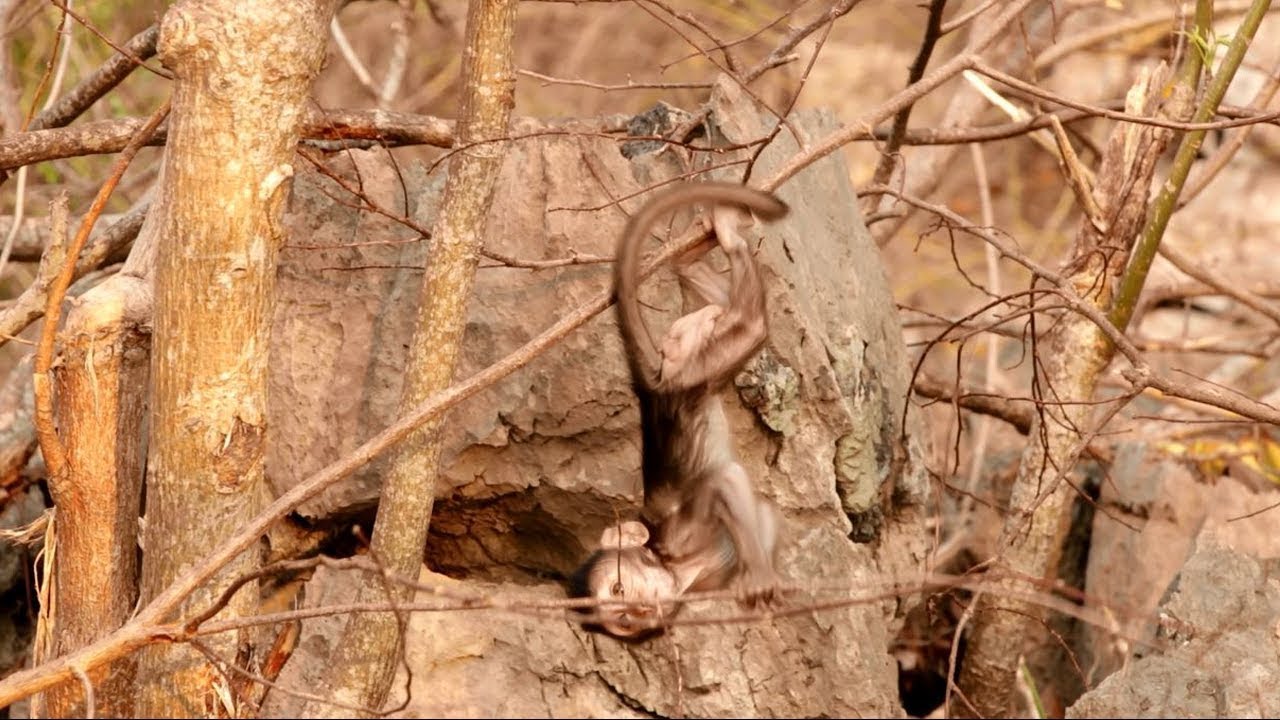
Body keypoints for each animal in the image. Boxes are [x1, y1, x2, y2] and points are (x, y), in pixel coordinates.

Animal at [570, 182, 789, 639]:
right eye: (622, 621)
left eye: (619, 588)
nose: (639, 611)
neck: (675, 569)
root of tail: (654, 387)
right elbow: (763, 509)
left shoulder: (680, 537)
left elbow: (724, 480)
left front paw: (760, 575)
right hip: (691, 362)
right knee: (735, 316)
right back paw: (689, 260)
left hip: (691, 378)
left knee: (750, 324)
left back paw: (725, 234)